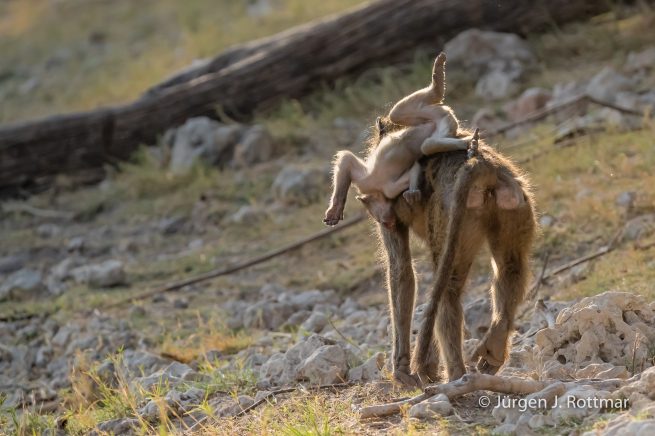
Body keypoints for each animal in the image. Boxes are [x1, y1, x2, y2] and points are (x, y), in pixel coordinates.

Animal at [324, 53, 473, 229]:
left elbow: (347, 159)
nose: (386, 222)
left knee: (397, 113)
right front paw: (413, 193)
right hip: (441, 123)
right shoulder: (389, 188)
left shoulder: (369, 184)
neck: (377, 188)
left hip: (428, 115)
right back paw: (467, 141)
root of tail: (446, 115)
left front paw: (335, 209)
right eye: (379, 219)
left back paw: (437, 77)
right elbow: (415, 167)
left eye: (373, 212)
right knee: (428, 145)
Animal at [376, 130, 535, 387]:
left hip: (452, 215)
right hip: (513, 202)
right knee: (510, 267)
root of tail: (482, 164)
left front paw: (402, 369)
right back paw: (494, 347)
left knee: (446, 289)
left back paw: (457, 376)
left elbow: (401, 269)